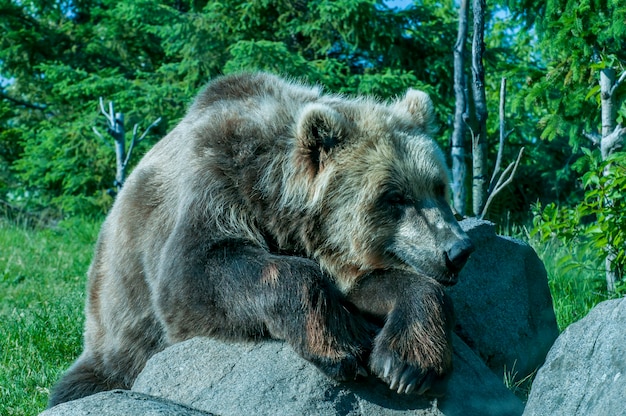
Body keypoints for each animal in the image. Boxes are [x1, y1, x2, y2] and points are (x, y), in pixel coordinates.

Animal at [48, 71, 472, 406]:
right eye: (395, 197)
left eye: (439, 188)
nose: (458, 249)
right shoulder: (217, 184)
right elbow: (197, 274)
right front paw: (340, 344)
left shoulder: (328, 246)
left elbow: (382, 285)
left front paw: (405, 364)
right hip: (119, 337)